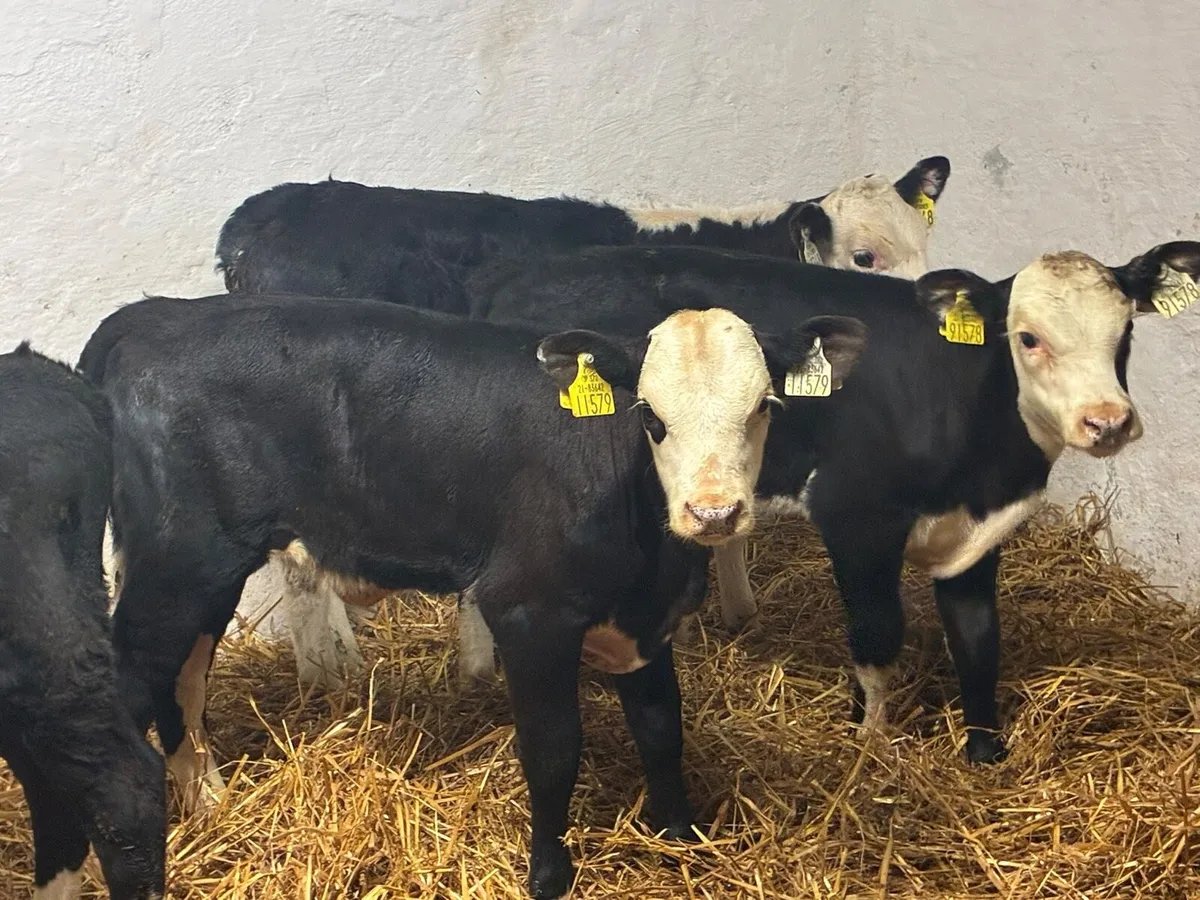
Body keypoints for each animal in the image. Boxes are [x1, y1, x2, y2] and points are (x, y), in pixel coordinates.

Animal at [78, 294, 867, 899]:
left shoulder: (646, 623)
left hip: (200, 574)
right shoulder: (527, 613)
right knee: (130, 688)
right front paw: (549, 875)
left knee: (182, 682)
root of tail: (154, 315)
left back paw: (209, 800)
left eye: (763, 407)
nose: (713, 513)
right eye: (650, 415)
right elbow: (553, 749)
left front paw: (682, 836)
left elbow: (661, 729)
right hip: (179, 563)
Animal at [397, 239, 1200, 766]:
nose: (1107, 421)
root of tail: (515, 268)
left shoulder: (977, 534)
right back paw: (478, 673)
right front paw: (869, 744)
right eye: (1027, 337)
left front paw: (985, 753)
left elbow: (978, 641)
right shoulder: (857, 515)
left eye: (1126, 331)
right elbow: (877, 636)